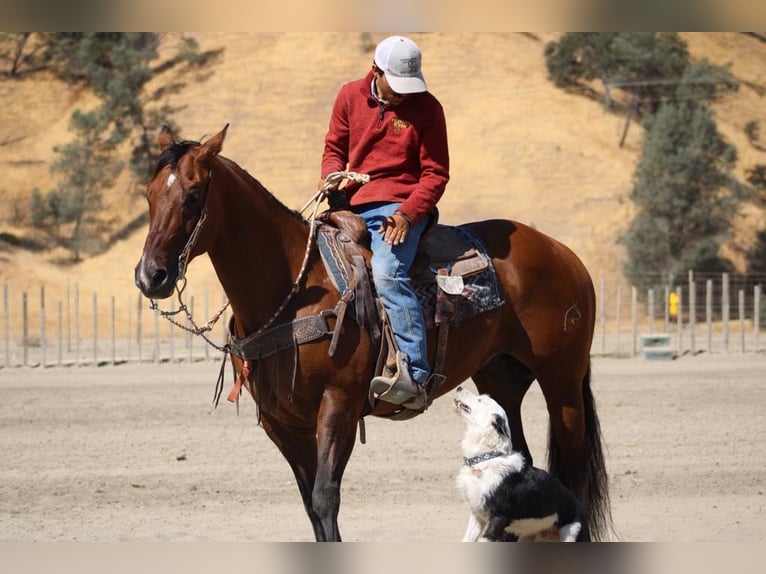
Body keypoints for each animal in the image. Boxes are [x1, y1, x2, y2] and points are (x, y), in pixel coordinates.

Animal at [452, 388, 592, 544]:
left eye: (480, 400)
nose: (459, 388)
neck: (486, 459)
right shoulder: (477, 515)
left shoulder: (498, 518)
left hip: (572, 532)